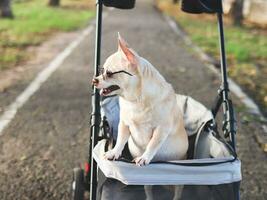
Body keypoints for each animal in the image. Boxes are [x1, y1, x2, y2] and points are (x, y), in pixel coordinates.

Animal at [93, 34, 189, 166]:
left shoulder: (161, 130)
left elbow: (152, 144)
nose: (94, 80)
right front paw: (114, 152)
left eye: (109, 73)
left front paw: (144, 157)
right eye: (101, 70)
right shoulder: (124, 124)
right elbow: (120, 140)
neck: (136, 100)